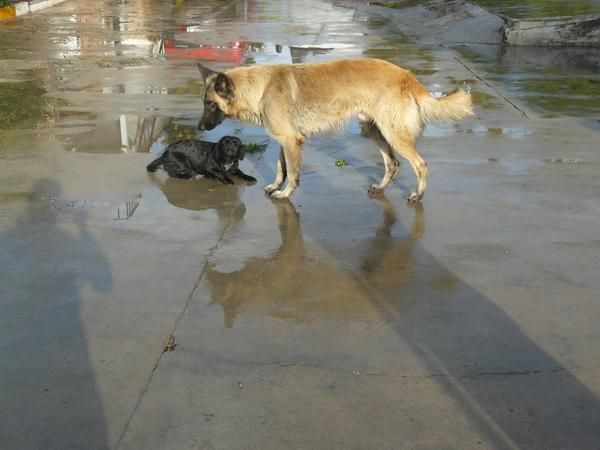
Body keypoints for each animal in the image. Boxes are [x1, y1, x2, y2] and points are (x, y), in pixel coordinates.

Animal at [199, 57, 472, 200]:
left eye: (210, 104)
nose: (199, 127)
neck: (260, 88)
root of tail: (407, 76)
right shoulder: (284, 140)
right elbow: (281, 167)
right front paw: (276, 185)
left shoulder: (291, 141)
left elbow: (293, 173)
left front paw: (285, 193)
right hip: (375, 131)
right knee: (392, 164)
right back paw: (380, 187)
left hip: (393, 134)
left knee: (420, 164)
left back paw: (418, 194)